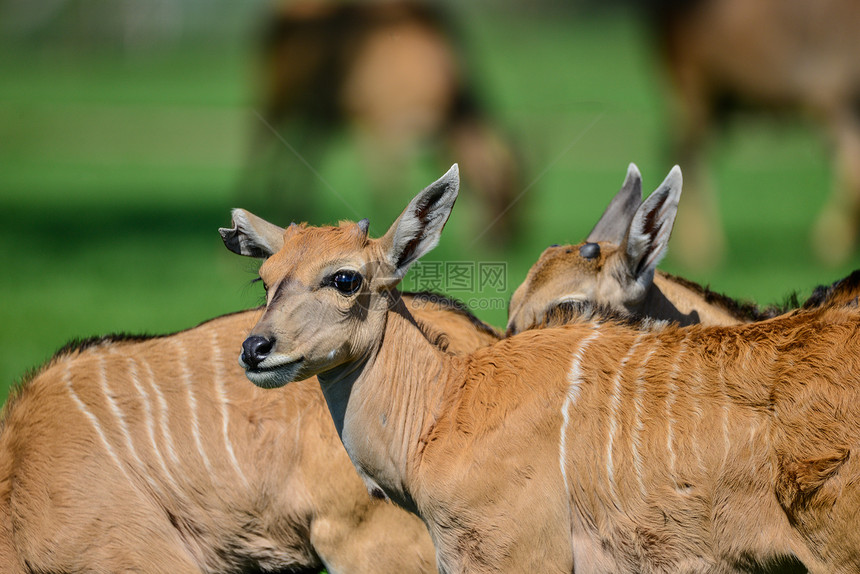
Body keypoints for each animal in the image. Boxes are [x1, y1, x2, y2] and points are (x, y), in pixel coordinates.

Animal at [245, 0, 520, 245]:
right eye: (497, 194)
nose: (506, 240)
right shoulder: (382, 129)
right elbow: (388, 186)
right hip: (279, 93)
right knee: (261, 140)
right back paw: (256, 197)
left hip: (320, 114)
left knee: (305, 151)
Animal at [648, 0, 860, 268]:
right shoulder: (831, 98)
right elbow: (854, 176)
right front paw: (831, 245)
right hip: (694, 89)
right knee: (687, 157)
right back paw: (701, 251)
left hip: (718, 102)